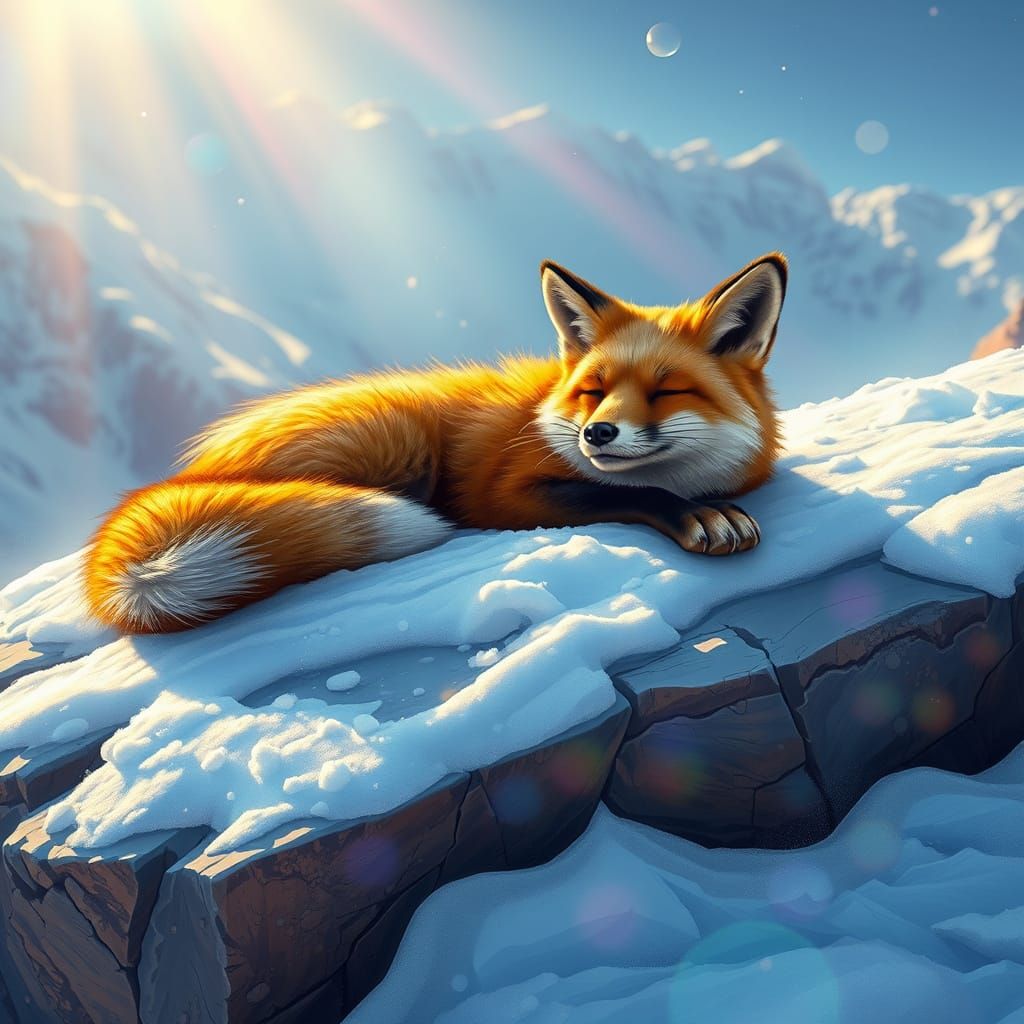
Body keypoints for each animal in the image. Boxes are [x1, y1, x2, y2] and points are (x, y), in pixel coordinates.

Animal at [84, 253, 787, 634]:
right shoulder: (504, 493)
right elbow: (620, 493)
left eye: (667, 392)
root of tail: (187, 472)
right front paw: (699, 515)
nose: (597, 432)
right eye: (593, 391)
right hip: (400, 445)